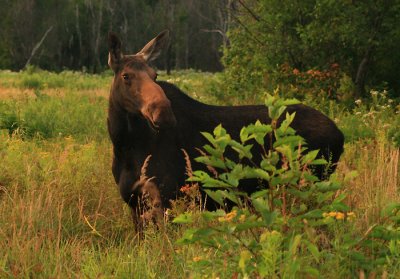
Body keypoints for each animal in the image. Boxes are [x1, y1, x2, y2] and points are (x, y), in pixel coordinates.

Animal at [106, 29, 344, 233]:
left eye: (154, 75)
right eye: (126, 76)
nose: (163, 113)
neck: (126, 146)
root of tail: (340, 135)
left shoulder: (166, 198)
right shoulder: (135, 203)